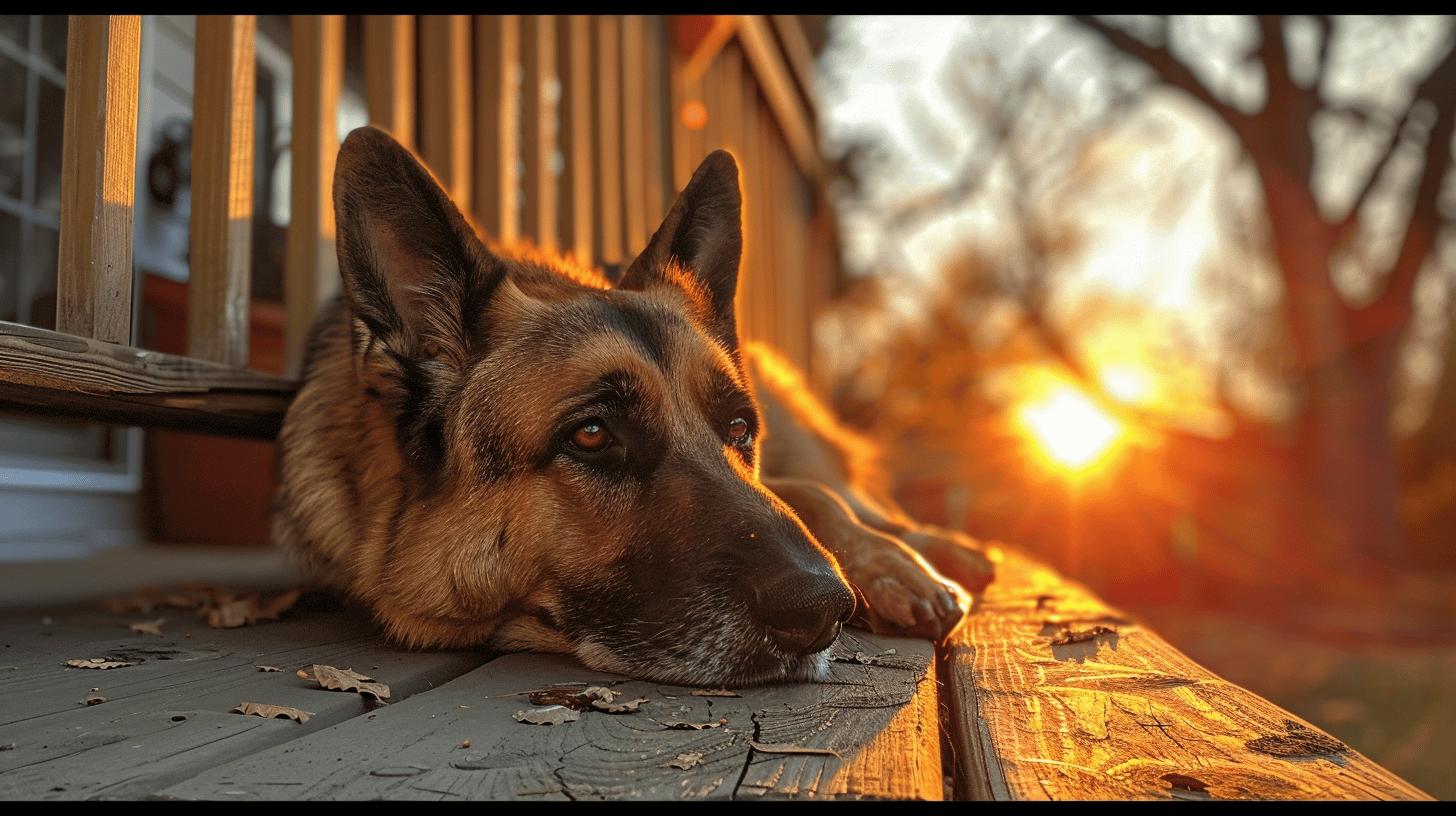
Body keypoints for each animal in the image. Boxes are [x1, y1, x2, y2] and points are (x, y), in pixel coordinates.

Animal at [273, 128, 995, 687]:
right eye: (592, 435)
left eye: (739, 429)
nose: (823, 607)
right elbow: (802, 497)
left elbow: (811, 496)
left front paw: (891, 564)